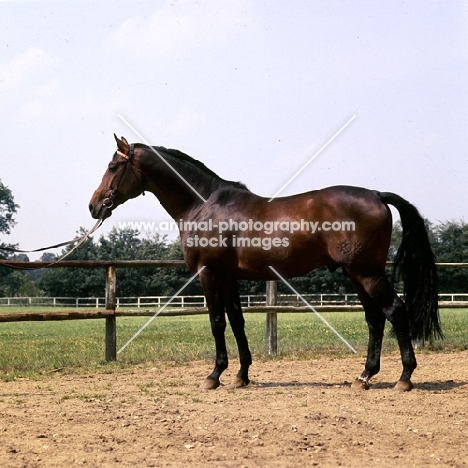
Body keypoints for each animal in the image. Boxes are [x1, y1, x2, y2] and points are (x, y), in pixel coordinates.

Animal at [88, 134, 442, 392]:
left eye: (112, 166)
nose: (94, 206)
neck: (203, 204)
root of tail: (376, 194)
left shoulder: (208, 274)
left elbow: (216, 322)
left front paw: (214, 376)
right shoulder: (229, 277)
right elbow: (237, 321)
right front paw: (241, 375)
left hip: (366, 273)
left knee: (395, 311)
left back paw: (404, 378)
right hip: (358, 275)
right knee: (375, 318)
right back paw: (364, 376)